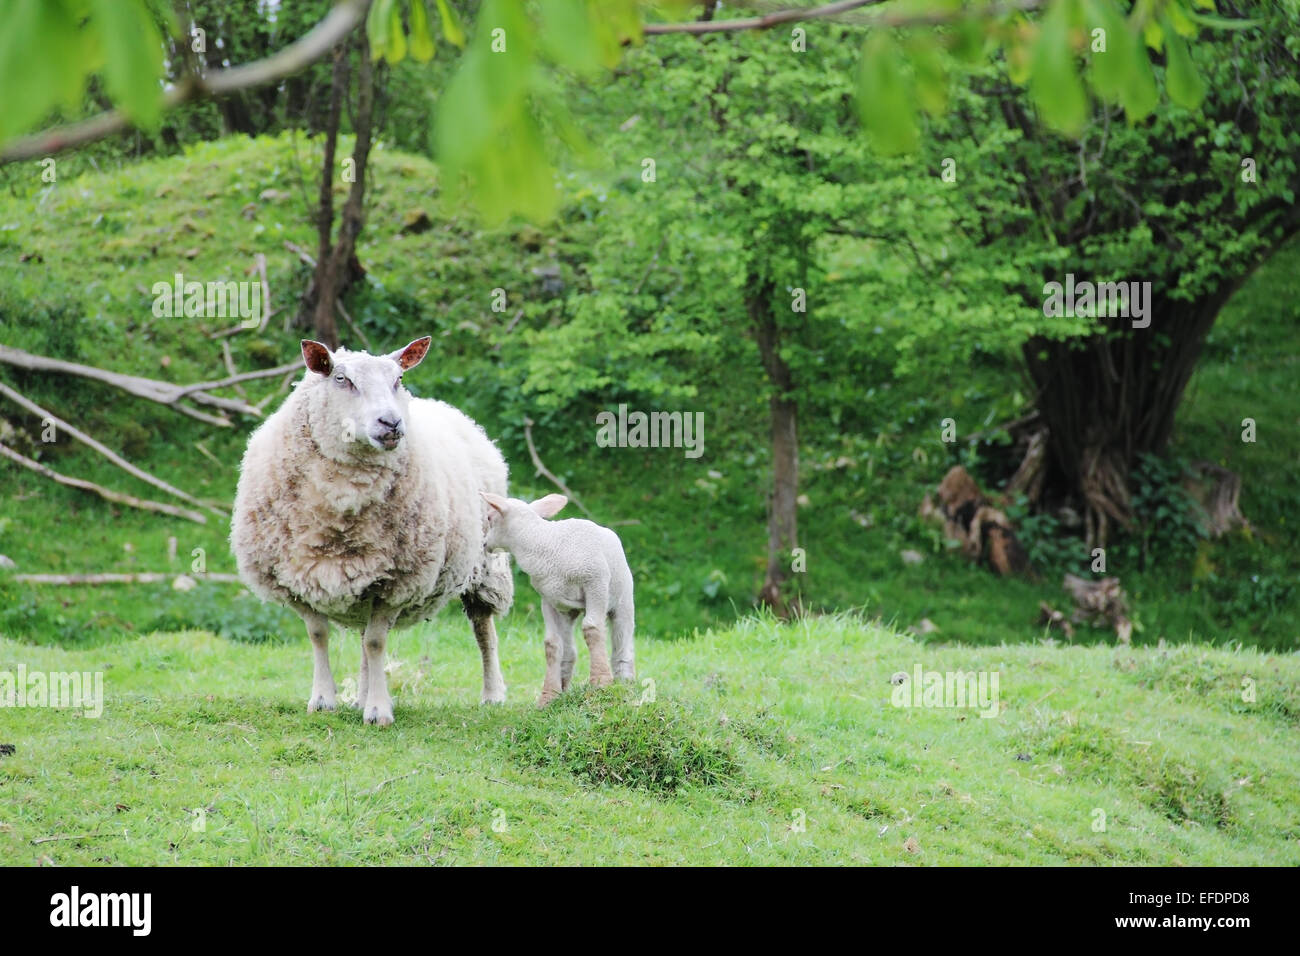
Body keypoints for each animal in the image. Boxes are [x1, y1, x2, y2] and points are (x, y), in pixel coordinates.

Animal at [230, 336, 514, 726]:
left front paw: (379, 710)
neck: (341, 507)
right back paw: (360, 696)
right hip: (365, 580)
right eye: (341, 378)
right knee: (365, 636)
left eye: (398, 379)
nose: (391, 422)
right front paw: (324, 700)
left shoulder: (396, 582)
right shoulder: (296, 580)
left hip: (484, 565)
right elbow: (319, 635)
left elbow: (377, 643)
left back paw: (493, 694)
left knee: (484, 628)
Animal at [479, 492, 635, 706]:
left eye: (489, 517)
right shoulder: (549, 599)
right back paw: (564, 688)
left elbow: (592, 628)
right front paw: (548, 696)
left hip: (622, 596)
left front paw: (600, 682)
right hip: (568, 610)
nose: (483, 543)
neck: (547, 544)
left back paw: (625, 682)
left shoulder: (595, 584)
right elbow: (551, 644)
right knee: (569, 651)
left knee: (622, 642)